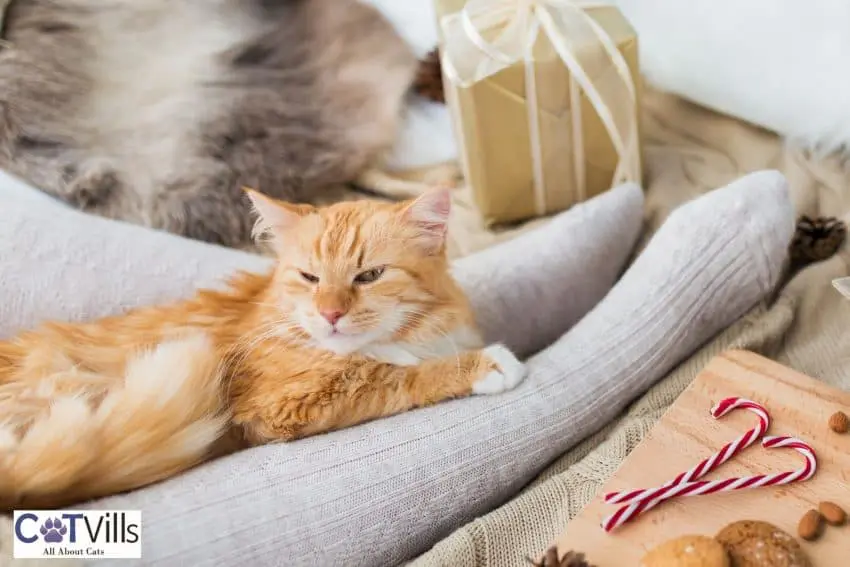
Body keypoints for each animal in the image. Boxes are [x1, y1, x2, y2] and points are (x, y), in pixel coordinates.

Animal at [0, 190, 528, 510]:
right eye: (310, 277)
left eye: (370, 276)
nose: (330, 313)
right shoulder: (281, 405)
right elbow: (391, 374)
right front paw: (485, 365)